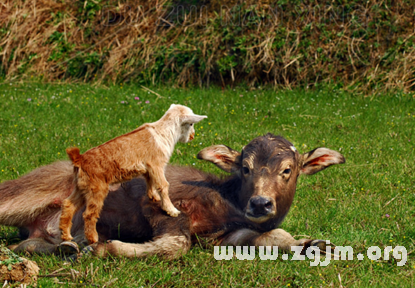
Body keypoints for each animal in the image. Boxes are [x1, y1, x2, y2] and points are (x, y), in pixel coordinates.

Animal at [0, 134, 344, 260]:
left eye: (288, 170)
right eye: (245, 168)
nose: (260, 203)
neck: (226, 199)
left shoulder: (226, 235)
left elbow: (276, 236)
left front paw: (313, 244)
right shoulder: (159, 203)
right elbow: (177, 243)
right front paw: (105, 247)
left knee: (26, 244)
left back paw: (67, 247)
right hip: (27, 192)